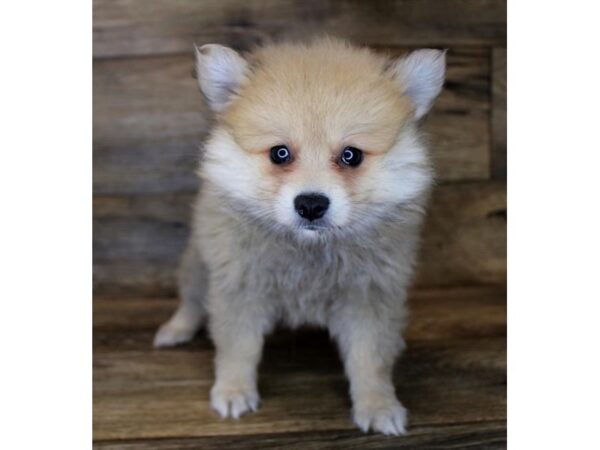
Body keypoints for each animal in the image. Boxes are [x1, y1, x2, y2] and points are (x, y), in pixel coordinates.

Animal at [155, 37, 446, 436]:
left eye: (351, 156)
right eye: (280, 153)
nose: (311, 204)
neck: (308, 252)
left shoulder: (370, 296)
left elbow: (369, 359)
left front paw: (378, 405)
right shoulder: (240, 287)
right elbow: (238, 347)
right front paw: (233, 390)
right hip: (200, 261)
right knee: (192, 299)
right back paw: (176, 329)